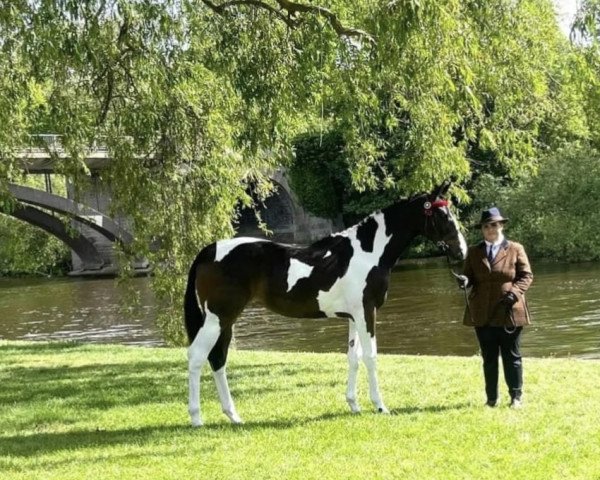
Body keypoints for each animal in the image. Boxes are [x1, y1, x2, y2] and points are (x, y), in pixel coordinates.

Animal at [185, 181, 466, 428]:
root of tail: (209, 251)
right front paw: (379, 405)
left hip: (226, 320)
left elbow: (354, 357)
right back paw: (197, 418)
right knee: (197, 356)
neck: (368, 252)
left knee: (218, 358)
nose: (461, 251)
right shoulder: (366, 313)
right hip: (217, 317)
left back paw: (233, 416)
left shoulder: (354, 316)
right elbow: (371, 357)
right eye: (442, 214)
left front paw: (354, 404)